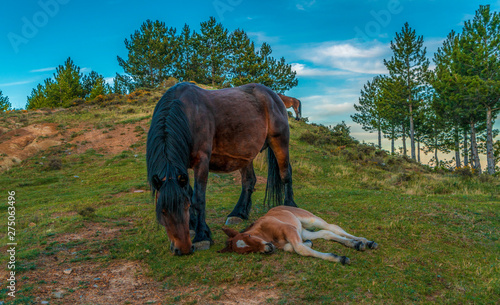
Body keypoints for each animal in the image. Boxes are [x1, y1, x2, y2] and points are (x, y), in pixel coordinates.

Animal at [148, 82, 296, 255]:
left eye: (185, 206)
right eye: (162, 211)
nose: (183, 249)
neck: (186, 113)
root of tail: (274, 95)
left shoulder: (201, 161)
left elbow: (198, 198)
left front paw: (201, 236)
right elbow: (189, 193)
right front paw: (193, 227)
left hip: (279, 142)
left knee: (286, 174)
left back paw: (290, 205)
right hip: (246, 155)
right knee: (249, 181)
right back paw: (238, 214)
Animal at [219, 207, 378, 264]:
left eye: (249, 237)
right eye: (247, 251)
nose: (268, 249)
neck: (266, 233)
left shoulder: (289, 228)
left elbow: (300, 249)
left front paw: (340, 258)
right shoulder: (292, 236)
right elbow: (294, 247)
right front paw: (308, 243)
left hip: (308, 218)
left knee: (332, 227)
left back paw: (366, 241)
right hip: (302, 229)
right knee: (326, 233)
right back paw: (357, 244)